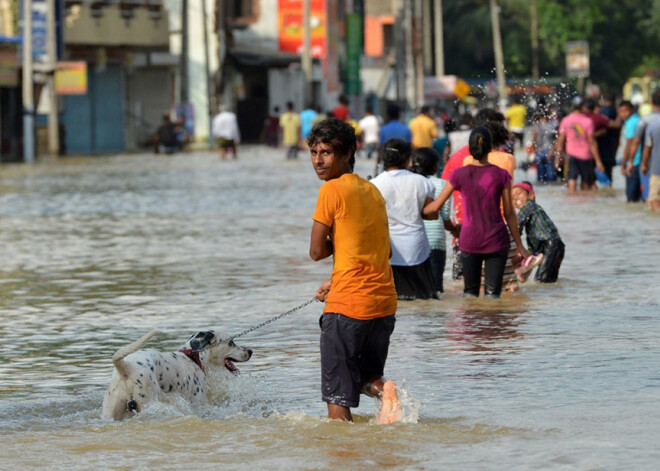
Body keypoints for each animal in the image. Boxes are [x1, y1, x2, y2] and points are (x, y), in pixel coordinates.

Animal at [102, 330, 251, 422]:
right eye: (231, 342)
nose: (251, 351)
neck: (193, 357)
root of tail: (125, 366)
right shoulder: (198, 403)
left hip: (111, 410)